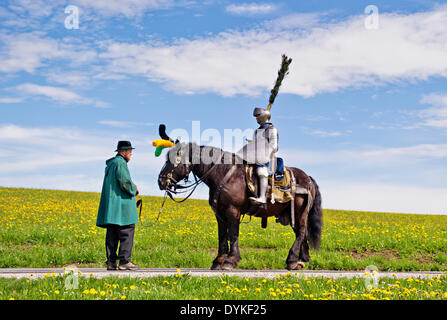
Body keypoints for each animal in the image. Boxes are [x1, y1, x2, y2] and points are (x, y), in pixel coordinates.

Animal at [158, 140, 322, 270]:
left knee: (301, 232)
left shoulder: (233, 211)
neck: (224, 174)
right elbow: (222, 235)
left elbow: (233, 234)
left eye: (174, 160)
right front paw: (218, 261)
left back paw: (292, 259)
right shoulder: (220, 214)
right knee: (301, 233)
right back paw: (300, 261)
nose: (161, 181)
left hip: (300, 212)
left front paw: (230, 261)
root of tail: (308, 178)